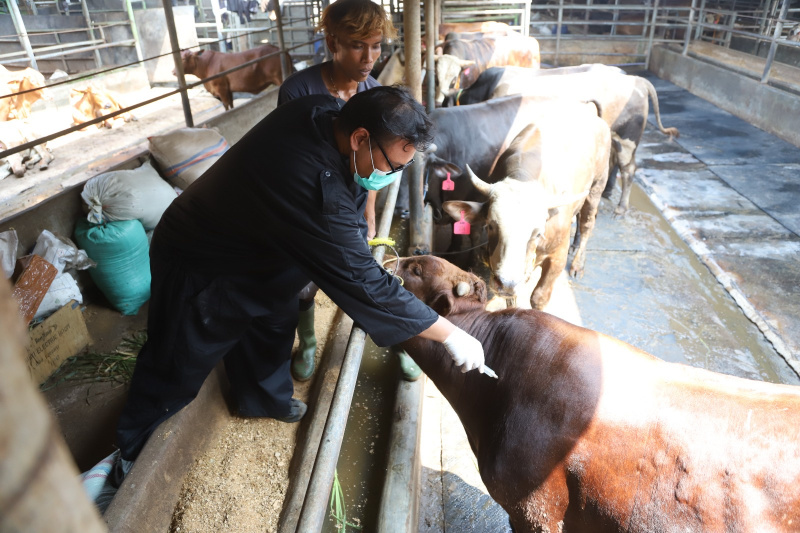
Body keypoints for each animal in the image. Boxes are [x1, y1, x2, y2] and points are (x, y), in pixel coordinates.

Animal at [440, 100, 608, 310]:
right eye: (491, 225)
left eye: (537, 233)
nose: (507, 283)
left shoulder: (557, 256)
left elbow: (539, 297)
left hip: (597, 186)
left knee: (587, 224)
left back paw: (578, 263)